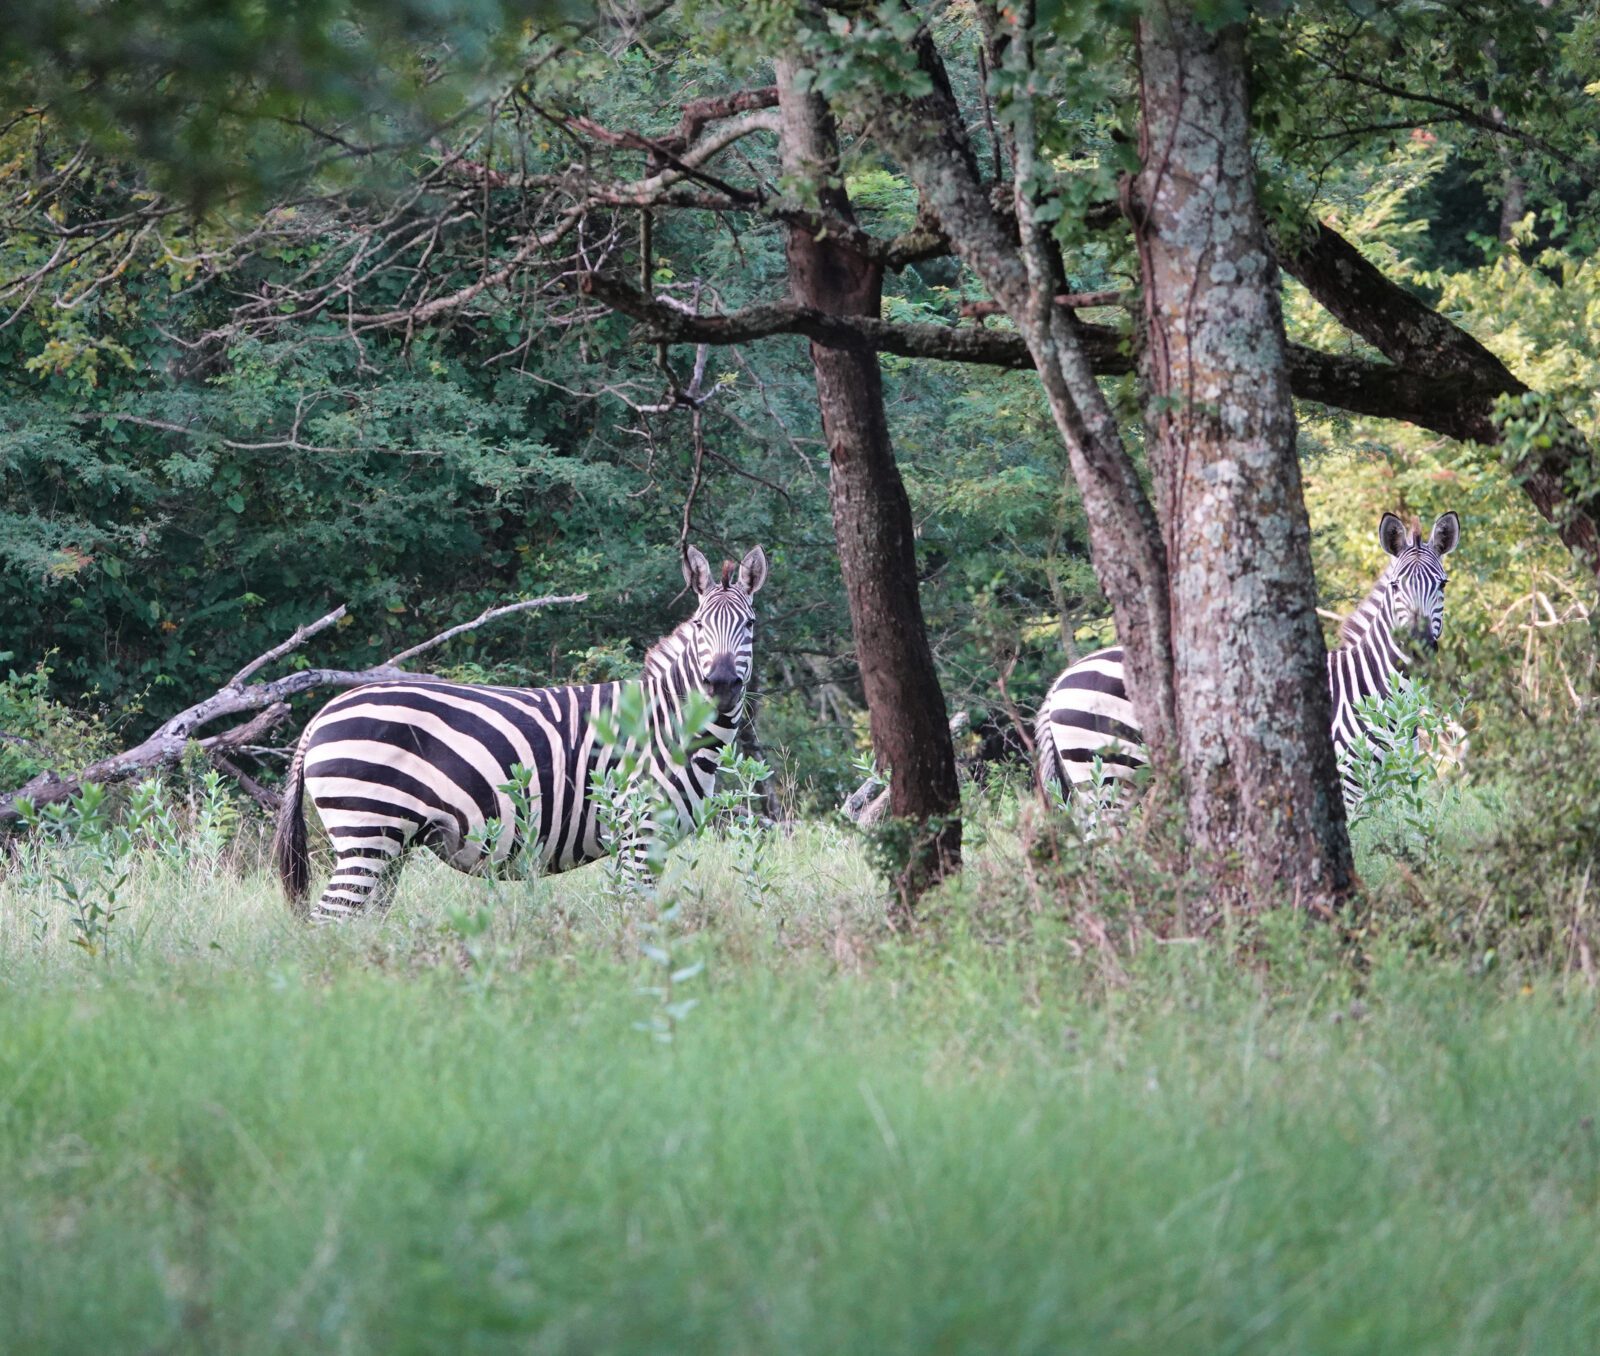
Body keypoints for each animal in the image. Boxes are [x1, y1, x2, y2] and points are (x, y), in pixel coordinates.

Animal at [273, 544, 768, 921]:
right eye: (700, 626)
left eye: (750, 625)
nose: (721, 685)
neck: (668, 726)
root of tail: (321, 714)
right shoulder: (638, 832)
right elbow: (637, 919)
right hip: (366, 829)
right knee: (329, 922)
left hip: (389, 843)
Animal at [1035, 511, 1460, 809]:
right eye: (1396, 587)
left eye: (1442, 584)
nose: (1420, 646)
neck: (1374, 689)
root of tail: (1060, 682)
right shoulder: (1346, 781)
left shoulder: (1393, 779)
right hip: (1106, 774)